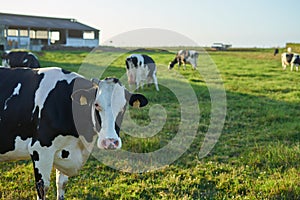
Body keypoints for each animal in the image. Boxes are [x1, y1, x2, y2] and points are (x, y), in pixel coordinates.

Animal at [0, 67, 148, 200]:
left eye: (124, 107)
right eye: (96, 104)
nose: (110, 142)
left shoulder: (65, 150)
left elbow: (61, 184)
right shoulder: (40, 149)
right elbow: (43, 188)